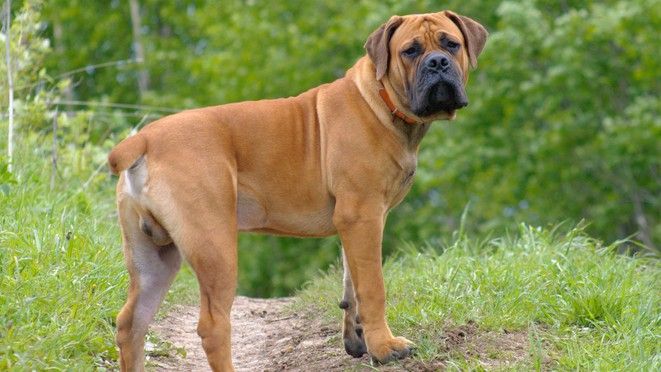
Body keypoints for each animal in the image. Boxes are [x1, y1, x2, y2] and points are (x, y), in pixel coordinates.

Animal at [109, 10, 484, 370]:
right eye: (410, 51)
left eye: (450, 44)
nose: (438, 63)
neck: (380, 100)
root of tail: (144, 139)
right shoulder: (363, 216)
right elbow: (372, 287)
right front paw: (384, 347)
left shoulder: (353, 223)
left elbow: (351, 284)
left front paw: (358, 339)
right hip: (214, 246)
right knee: (212, 326)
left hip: (154, 257)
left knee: (131, 323)